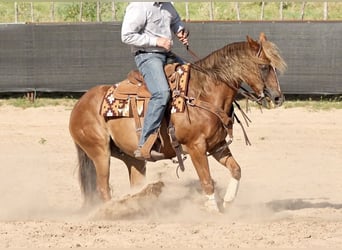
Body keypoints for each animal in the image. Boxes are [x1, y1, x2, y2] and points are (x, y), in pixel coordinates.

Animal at [69, 32, 286, 212]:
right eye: (264, 66)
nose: (278, 98)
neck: (203, 94)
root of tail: (80, 103)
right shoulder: (196, 147)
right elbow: (207, 181)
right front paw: (213, 210)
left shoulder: (217, 145)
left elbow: (236, 170)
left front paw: (228, 201)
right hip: (100, 152)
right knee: (103, 188)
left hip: (132, 158)